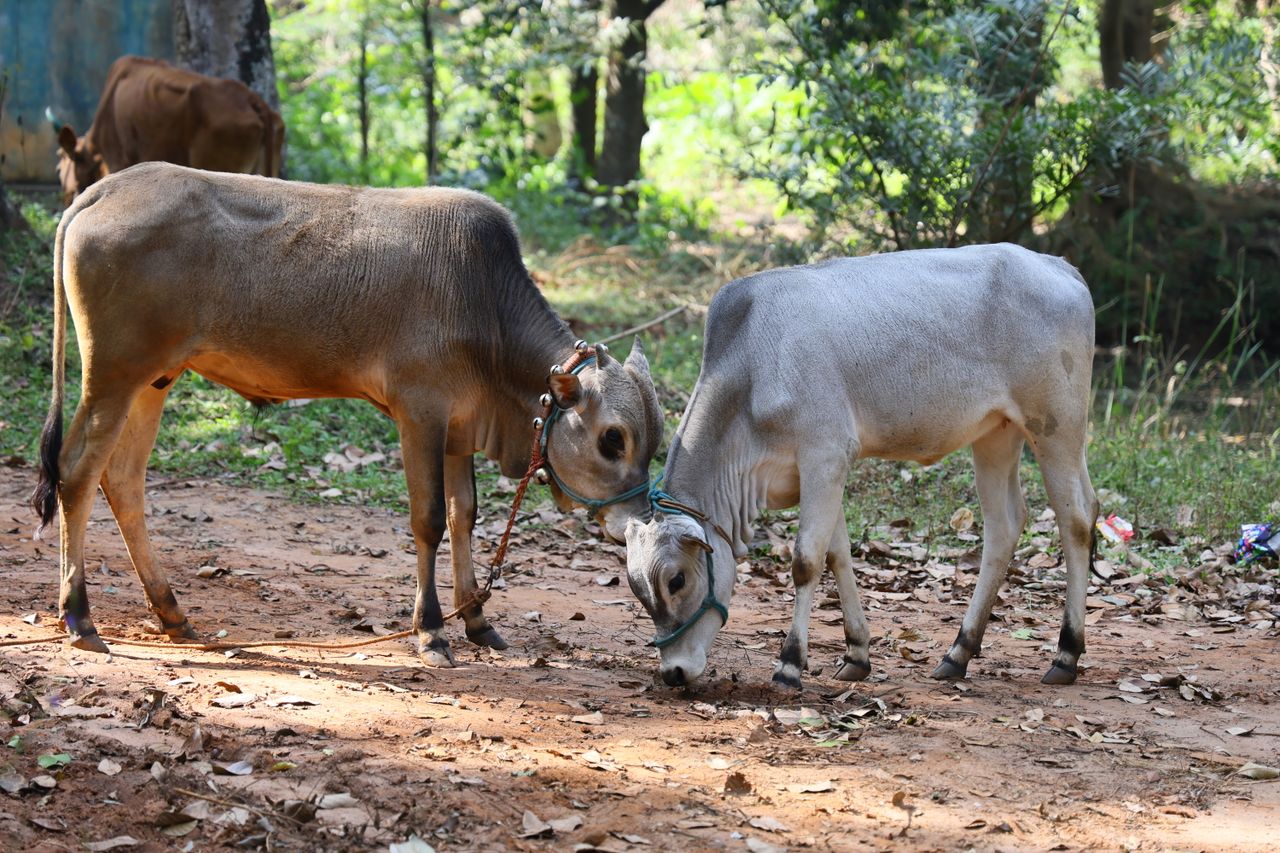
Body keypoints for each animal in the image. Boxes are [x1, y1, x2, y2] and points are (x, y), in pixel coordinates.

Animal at [32, 162, 662, 666]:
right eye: (612, 439)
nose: (636, 521)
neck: (484, 305)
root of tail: (103, 190)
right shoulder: (420, 414)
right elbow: (429, 520)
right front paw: (431, 632)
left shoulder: (459, 429)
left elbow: (464, 515)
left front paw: (478, 620)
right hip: (113, 374)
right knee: (78, 472)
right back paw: (80, 618)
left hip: (154, 380)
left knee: (123, 480)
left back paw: (171, 613)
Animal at [624, 244, 1099, 689]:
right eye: (639, 590)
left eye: (677, 580)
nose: (674, 672)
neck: (752, 372)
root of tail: (1059, 267)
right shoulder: (822, 473)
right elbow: (837, 554)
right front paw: (856, 653)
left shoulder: (825, 456)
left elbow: (806, 560)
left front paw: (789, 664)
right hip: (996, 435)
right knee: (1005, 526)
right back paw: (959, 652)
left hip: (1056, 426)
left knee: (1076, 518)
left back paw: (1066, 654)